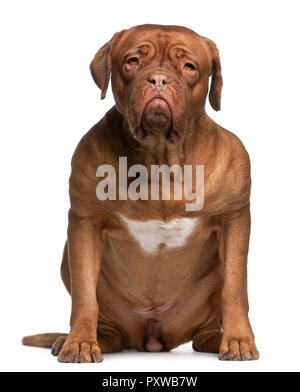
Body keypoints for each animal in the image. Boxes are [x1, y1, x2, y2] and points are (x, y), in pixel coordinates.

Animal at [22, 23, 258, 362]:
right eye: (132, 61)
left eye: (190, 67)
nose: (158, 79)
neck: (160, 160)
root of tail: (153, 337)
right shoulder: (84, 222)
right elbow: (84, 293)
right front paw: (80, 342)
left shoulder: (234, 219)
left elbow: (235, 288)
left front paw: (239, 339)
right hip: (72, 262)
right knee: (106, 324)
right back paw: (77, 339)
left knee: (204, 332)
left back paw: (218, 339)